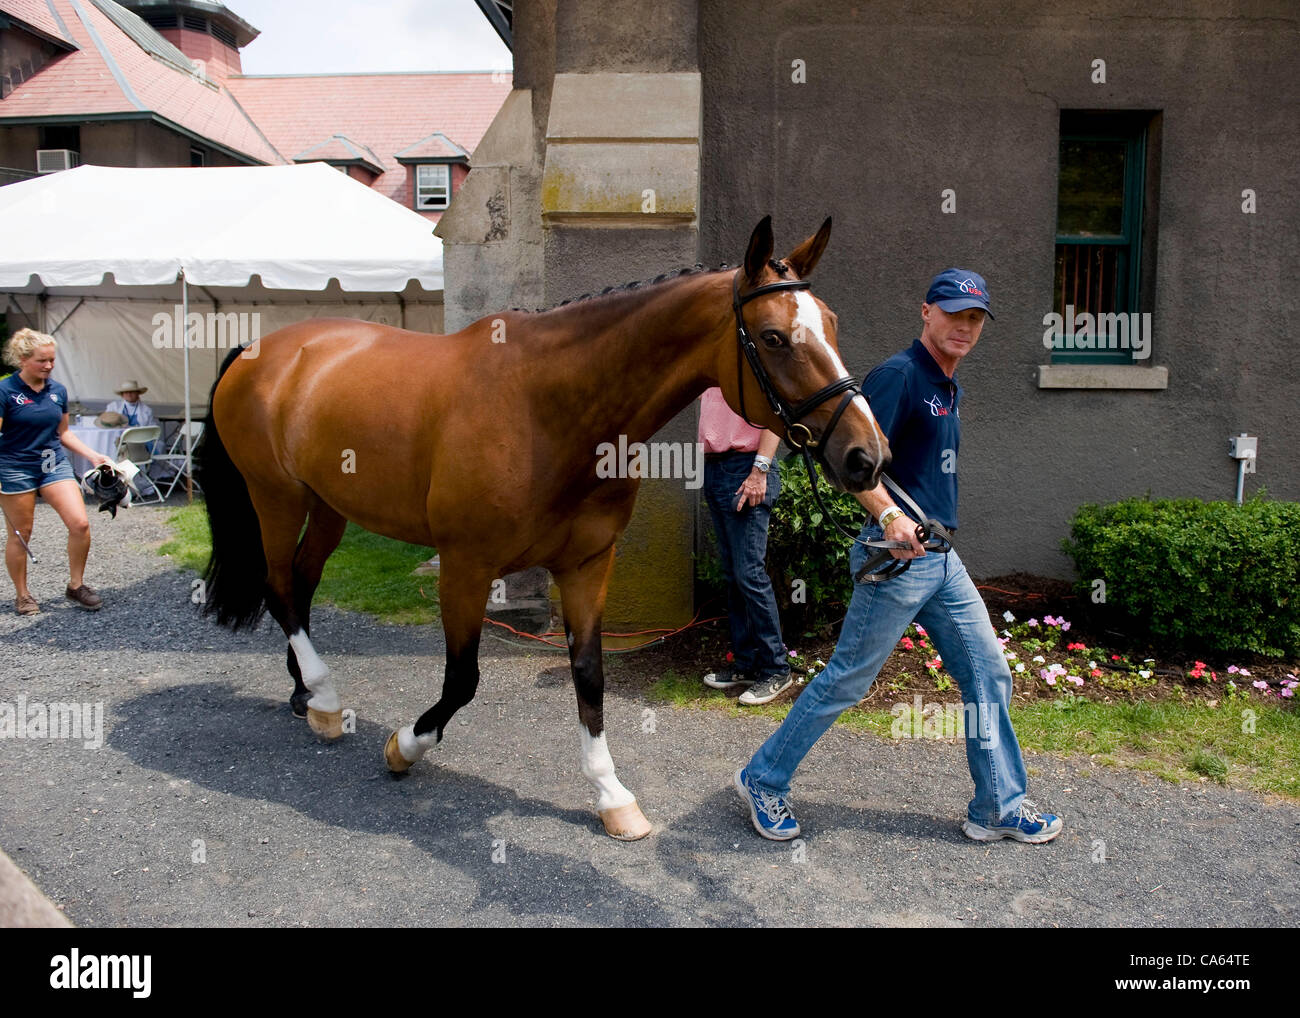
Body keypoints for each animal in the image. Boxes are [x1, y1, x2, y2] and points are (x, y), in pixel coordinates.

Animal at [197, 213, 889, 837]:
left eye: (830, 324)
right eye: (772, 338)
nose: (869, 456)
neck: (545, 407)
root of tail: (261, 351)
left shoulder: (586, 564)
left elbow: (590, 676)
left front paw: (612, 795)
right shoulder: (466, 566)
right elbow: (463, 678)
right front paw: (404, 746)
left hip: (328, 507)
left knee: (301, 586)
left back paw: (306, 697)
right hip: (276, 497)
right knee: (280, 587)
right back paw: (324, 696)